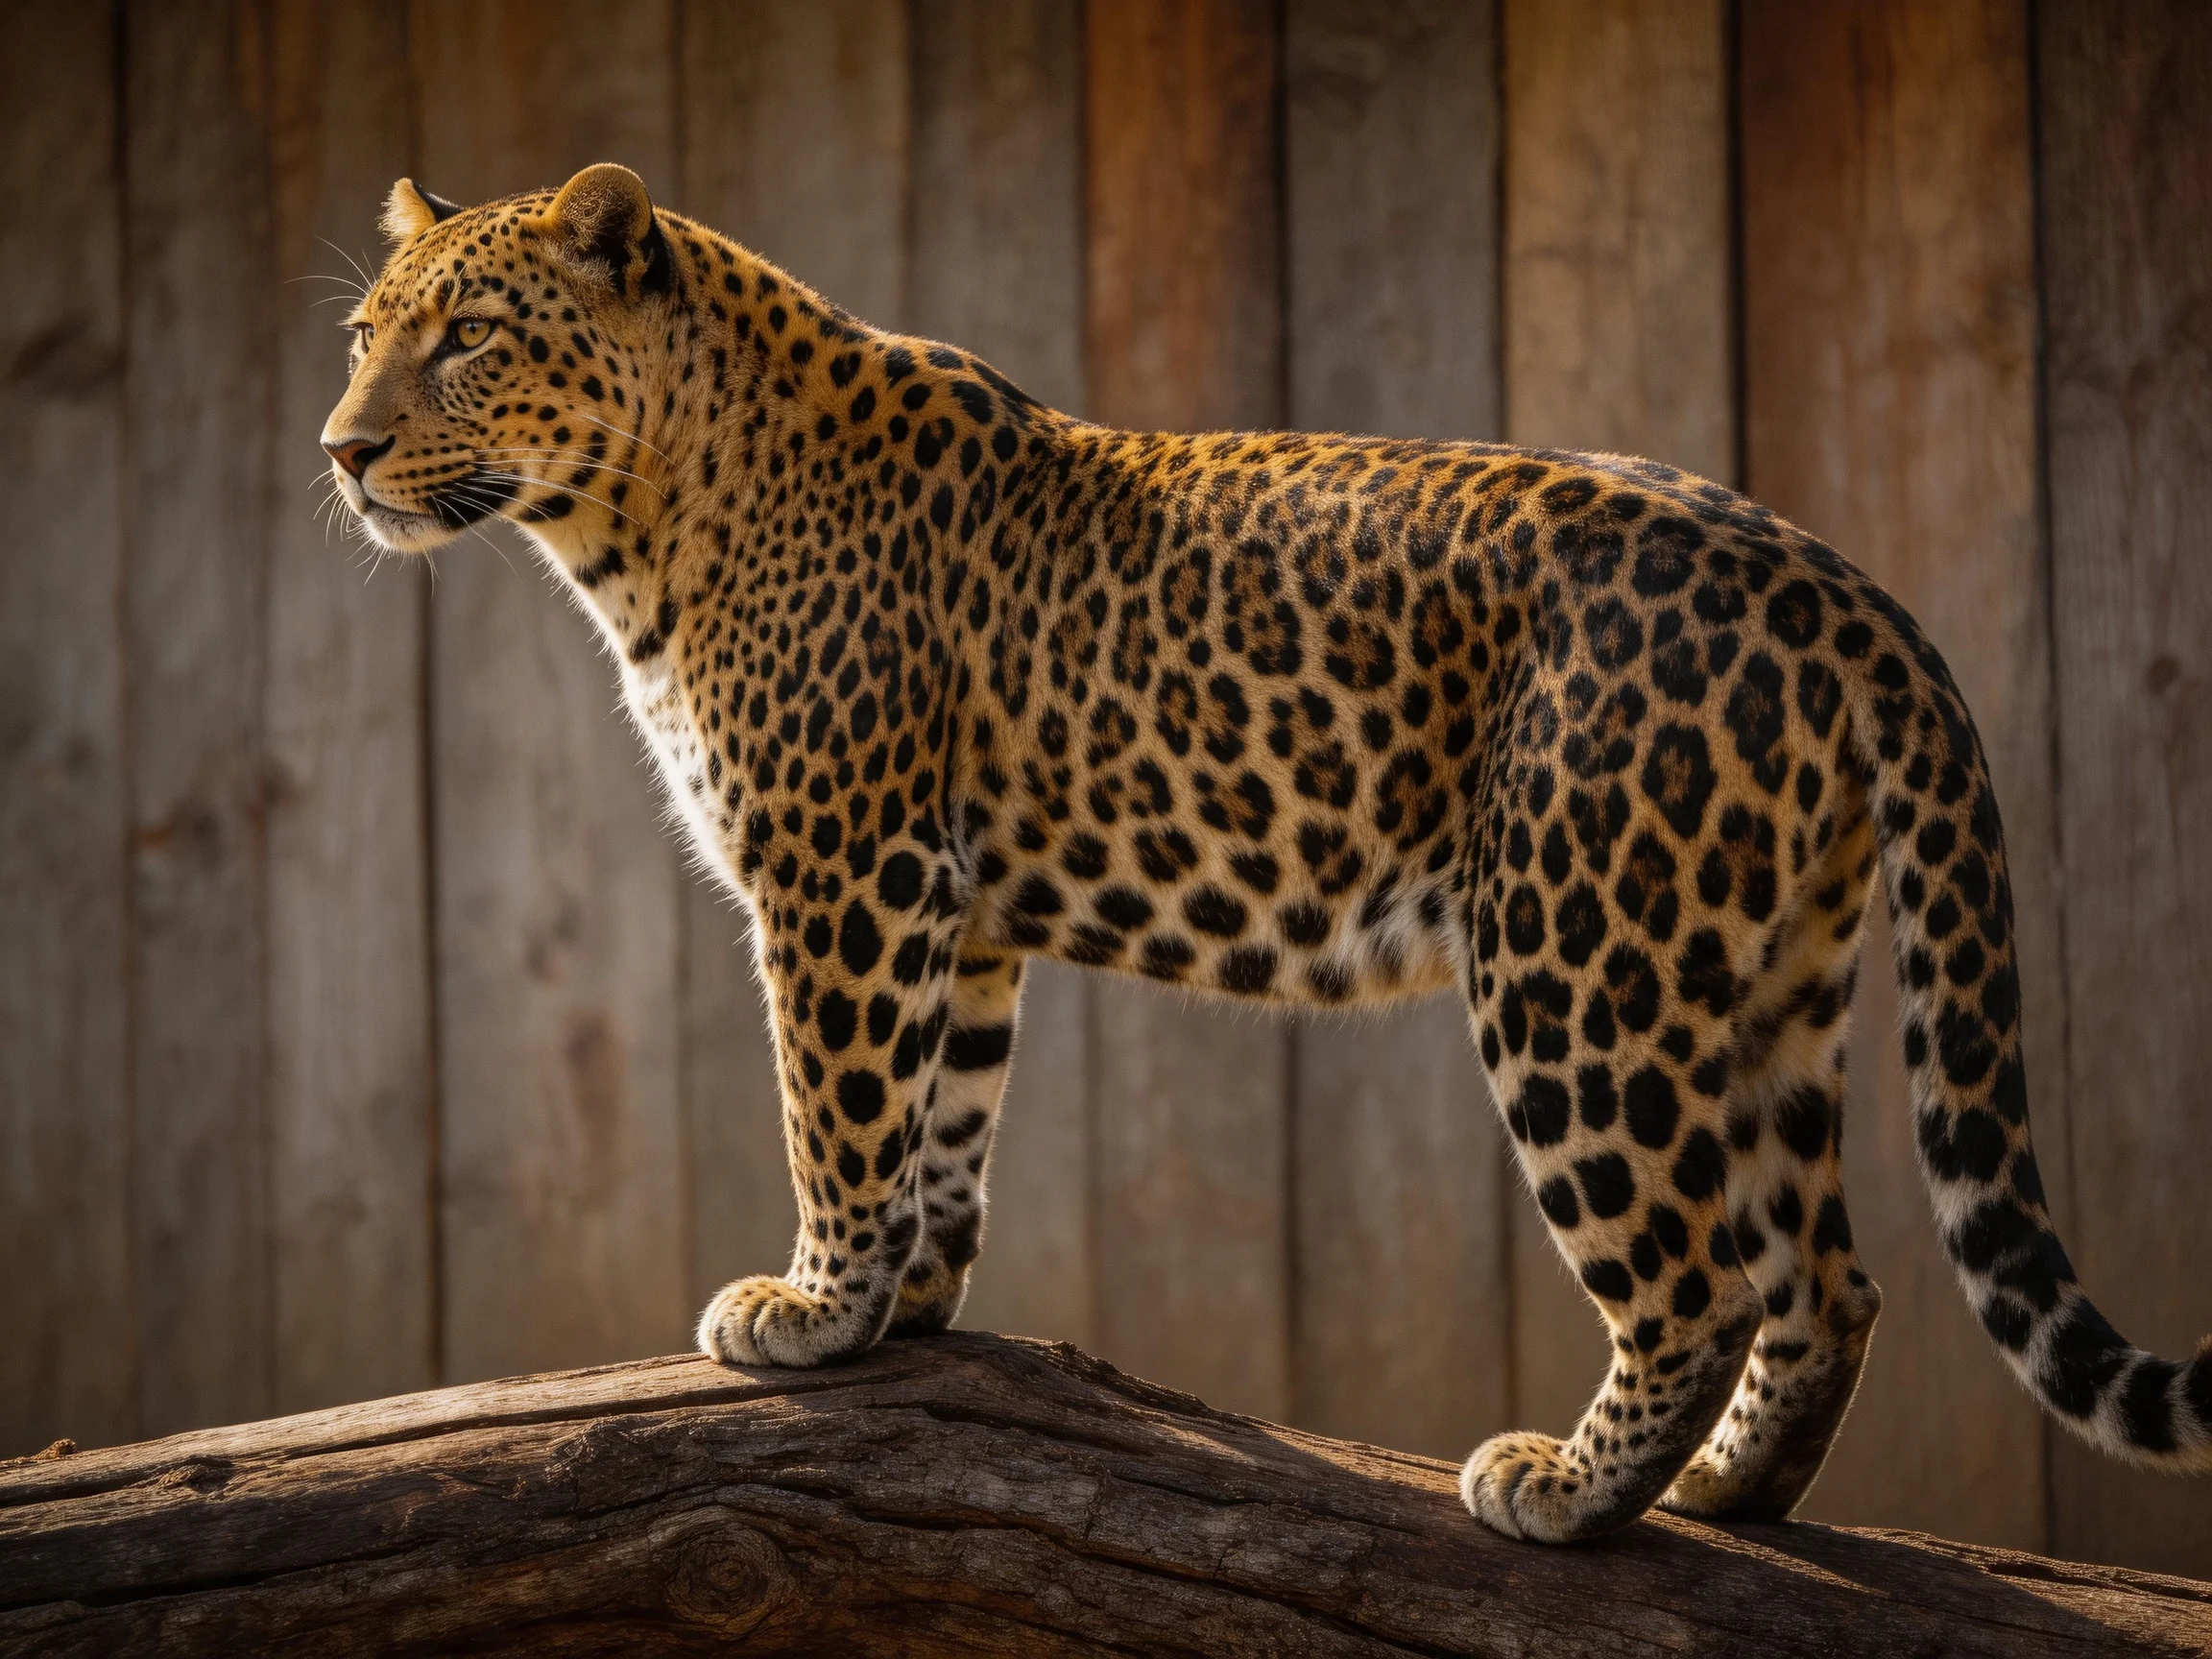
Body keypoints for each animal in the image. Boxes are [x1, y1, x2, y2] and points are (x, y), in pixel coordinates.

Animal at [324, 163, 2211, 1542]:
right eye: (360, 334)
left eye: (468, 336)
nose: (340, 450)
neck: (634, 521)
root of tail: (1846, 583)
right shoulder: (961, 907)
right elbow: (948, 1115)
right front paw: (908, 1298)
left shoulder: (843, 871)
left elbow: (839, 1106)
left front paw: (810, 1307)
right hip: (1765, 974)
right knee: (1828, 1280)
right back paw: (1733, 1495)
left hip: (1575, 967)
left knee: (1696, 1280)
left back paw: (1569, 1493)